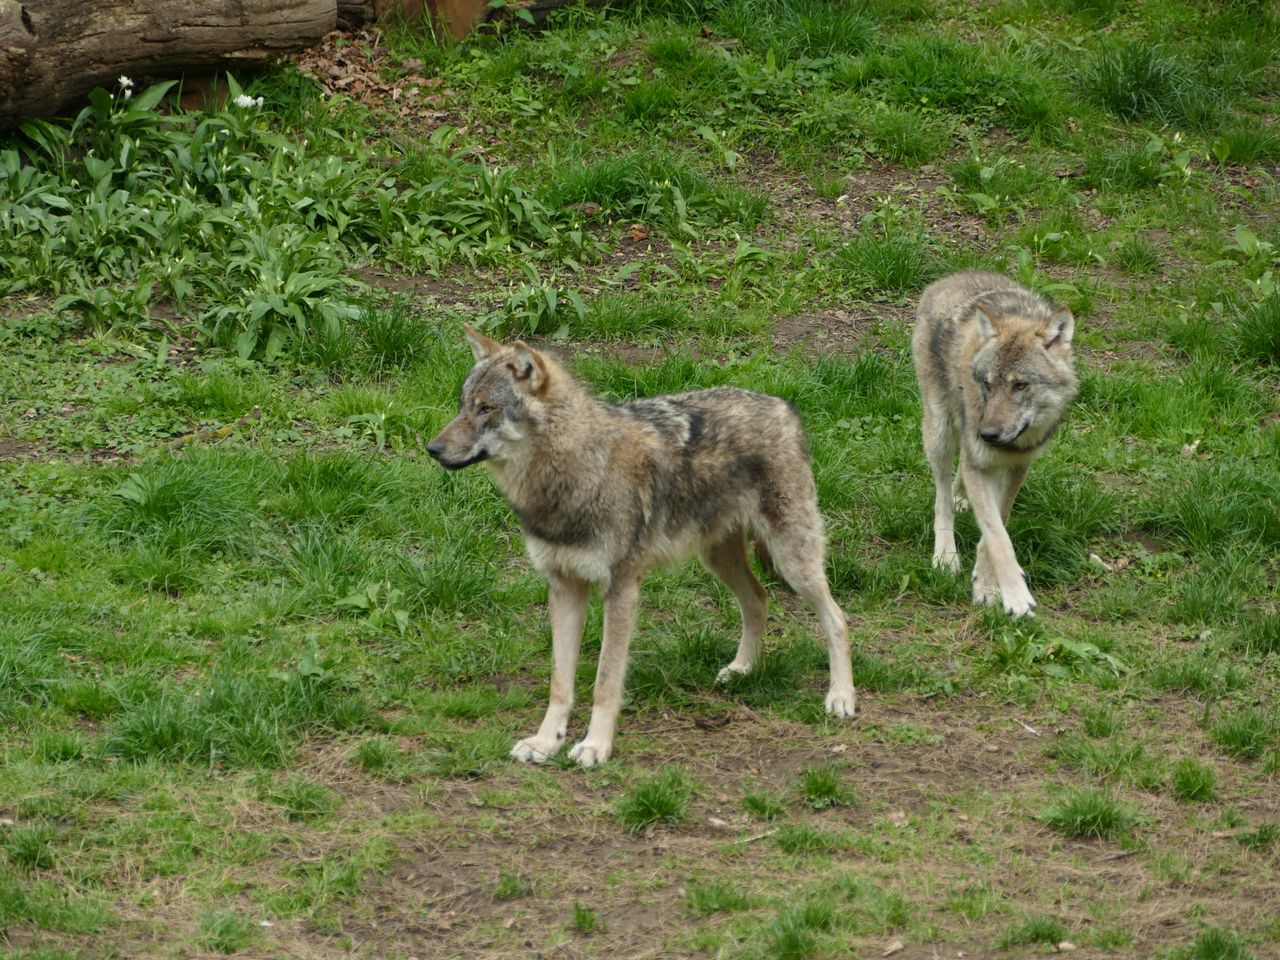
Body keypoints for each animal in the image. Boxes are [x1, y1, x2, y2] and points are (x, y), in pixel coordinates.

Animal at [427, 326, 857, 767]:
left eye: (487, 409)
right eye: (463, 405)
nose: (432, 449)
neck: (577, 472)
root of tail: (784, 407)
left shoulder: (621, 591)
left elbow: (605, 681)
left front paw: (595, 746)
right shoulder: (563, 587)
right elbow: (560, 683)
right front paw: (546, 742)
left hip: (793, 562)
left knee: (837, 618)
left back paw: (840, 697)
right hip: (718, 559)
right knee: (758, 600)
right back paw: (741, 670)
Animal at [911, 271, 1078, 618]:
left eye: (1021, 385)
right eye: (987, 383)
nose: (986, 434)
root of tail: (951, 276)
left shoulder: (1018, 465)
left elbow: (996, 525)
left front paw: (986, 586)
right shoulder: (980, 461)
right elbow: (999, 537)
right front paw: (1015, 597)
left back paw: (962, 499)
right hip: (939, 432)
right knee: (942, 498)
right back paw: (945, 556)